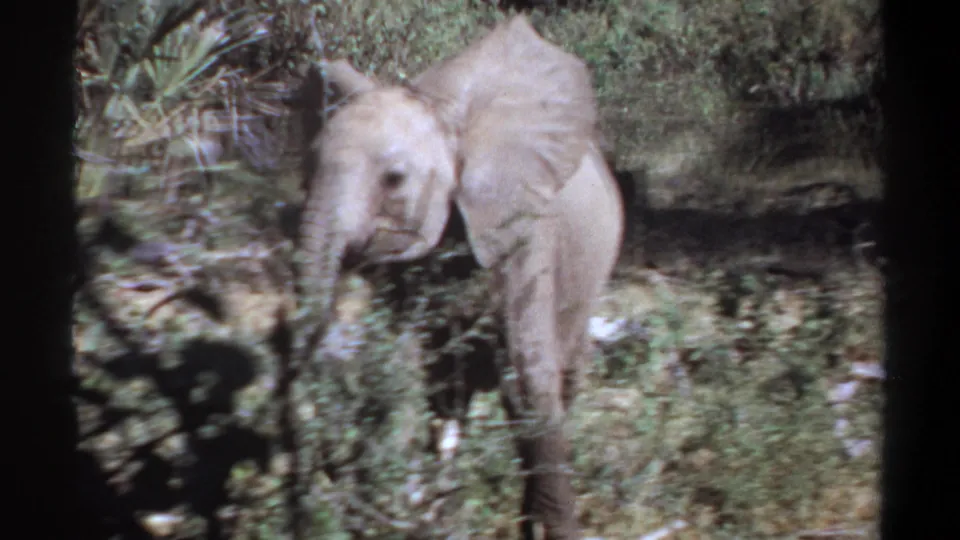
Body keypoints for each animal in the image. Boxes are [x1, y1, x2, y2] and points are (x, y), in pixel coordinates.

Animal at [297, 15, 625, 540]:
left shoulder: (524, 223)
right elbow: (409, 368)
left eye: (394, 178)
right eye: (307, 166)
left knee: (559, 375)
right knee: (450, 400)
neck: (445, 113)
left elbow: (528, 374)